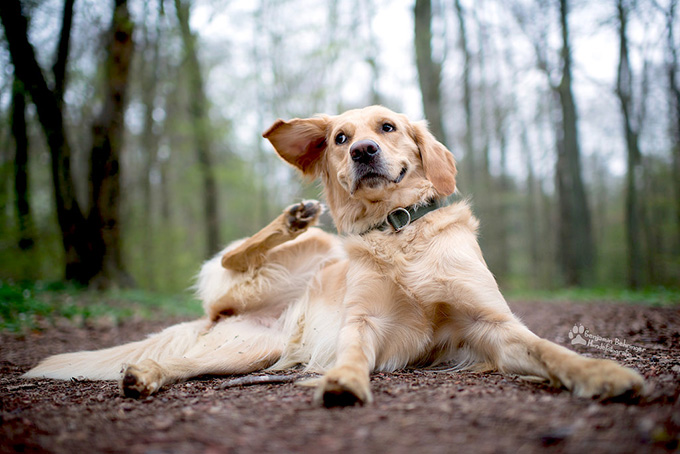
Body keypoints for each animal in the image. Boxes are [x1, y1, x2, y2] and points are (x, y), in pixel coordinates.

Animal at [23, 105, 644, 404]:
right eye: (341, 138)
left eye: (387, 127)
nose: (364, 150)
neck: (397, 232)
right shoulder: (361, 320)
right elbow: (350, 352)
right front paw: (343, 382)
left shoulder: (493, 326)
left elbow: (550, 351)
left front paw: (601, 374)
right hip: (306, 255)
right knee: (233, 259)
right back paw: (291, 219)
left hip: (246, 351)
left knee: (183, 362)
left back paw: (146, 374)